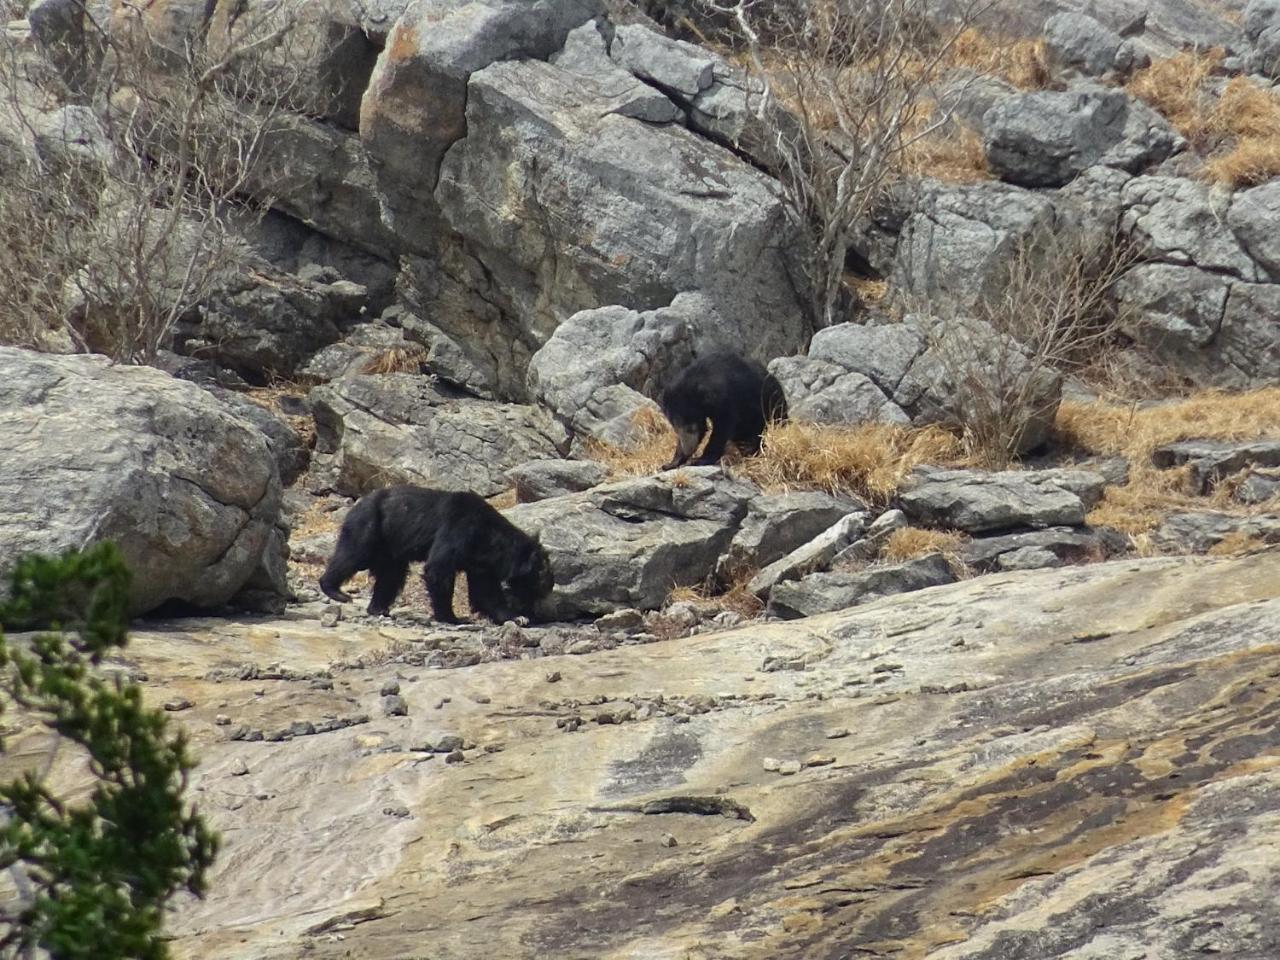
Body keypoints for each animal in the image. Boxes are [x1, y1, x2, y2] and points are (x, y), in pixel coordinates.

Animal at [318, 488, 550, 624]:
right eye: (542, 574)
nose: (548, 589)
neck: (489, 539)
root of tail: (357, 504)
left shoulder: (482, 564)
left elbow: (486, 591)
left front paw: (516, 617)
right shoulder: (459, 528)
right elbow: (438, 569)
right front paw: (453, 618)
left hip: (390, 545)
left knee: (391, 576)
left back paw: (379, 608)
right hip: (369, 526)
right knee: (352, 555)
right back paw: (336, 591)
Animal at [660, 353, 788, 473]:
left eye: (690, 427)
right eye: (675, 429)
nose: (688, 449)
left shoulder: (725, 398)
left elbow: (722, 427)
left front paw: (698, 460)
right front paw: (671, 463)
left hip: (769, 402)